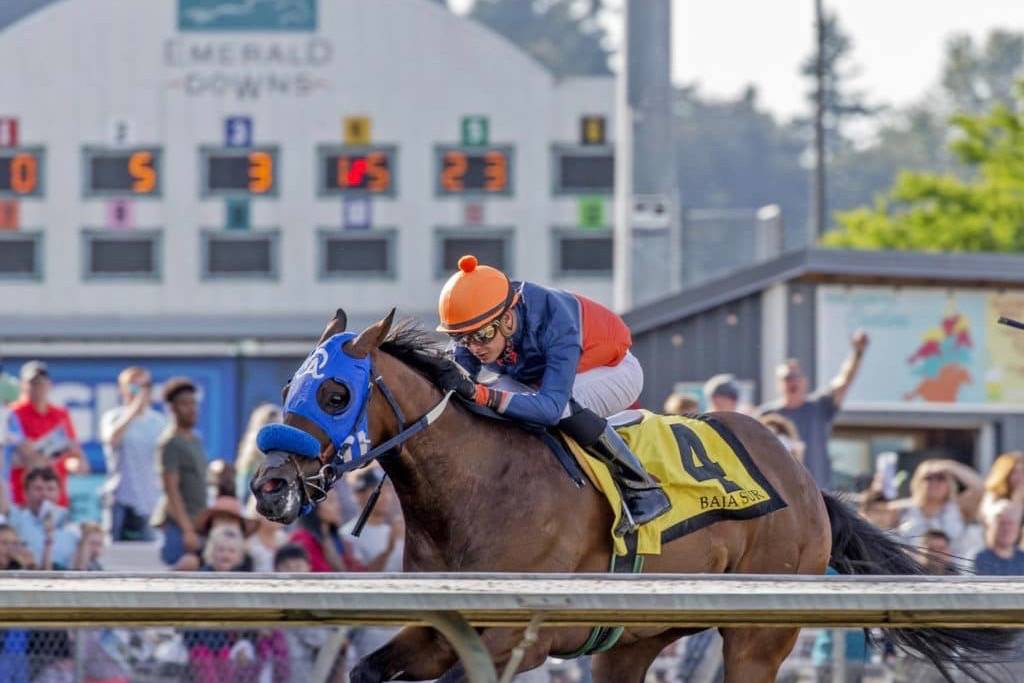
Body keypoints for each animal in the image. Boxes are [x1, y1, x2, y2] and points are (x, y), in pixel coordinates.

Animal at [253, 311, 1007, 683]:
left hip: (760, 637)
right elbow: (365, 668)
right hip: (632, 640)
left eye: (335, 392)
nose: (268, 486)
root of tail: (804, 480)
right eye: (290, 383)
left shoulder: (517, 638)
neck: (477, 487)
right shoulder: (444, 628)